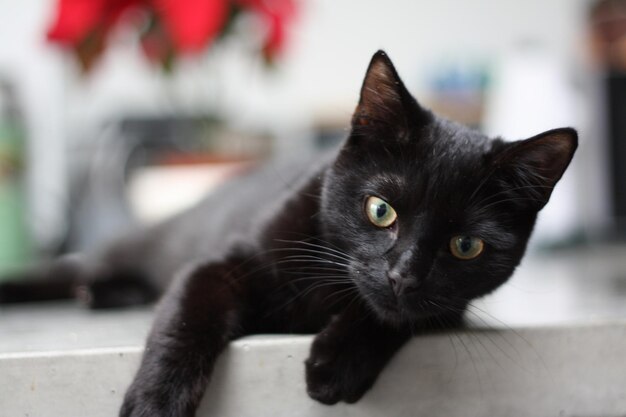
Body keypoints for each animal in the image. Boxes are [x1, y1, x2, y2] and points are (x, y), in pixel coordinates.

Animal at [1, 50, 576, 414]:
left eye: (466, 246)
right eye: (380, 211)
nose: (404, 274)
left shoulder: (447, 305)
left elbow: (399, 316)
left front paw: (338, 363)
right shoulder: (219, 266)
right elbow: (184, 321)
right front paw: (155, 402)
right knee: (74, 268)